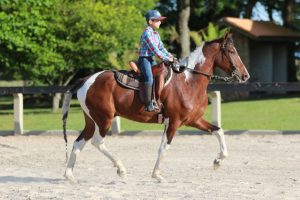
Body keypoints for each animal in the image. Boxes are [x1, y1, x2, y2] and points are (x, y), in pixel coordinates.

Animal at [61, 32, 248, 183]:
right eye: (232, 51)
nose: (245, 75)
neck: (189, 82)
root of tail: (86, 80)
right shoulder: (174, 121)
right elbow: (164, 147)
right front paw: (157, 175)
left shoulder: (194, 120)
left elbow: (218, 131)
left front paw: (218, 161)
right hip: (104, 119)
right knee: (97, 142)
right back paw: (121, 169)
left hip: (92, 121)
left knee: (78, 143)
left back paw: (70, 176)